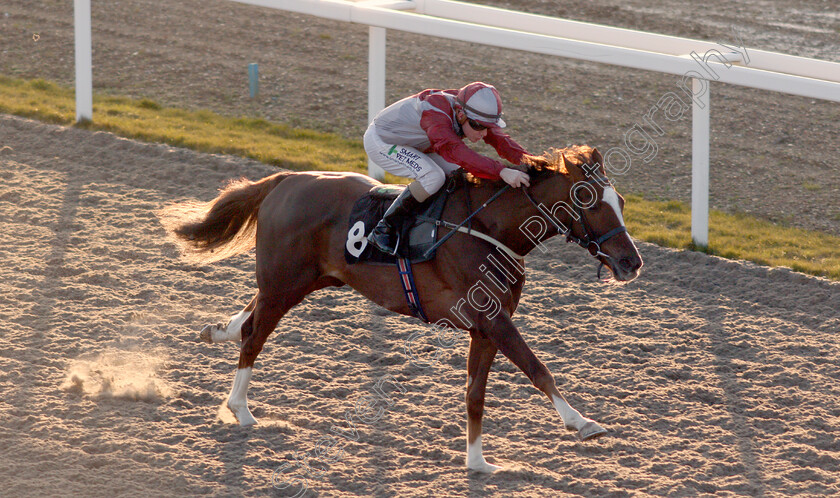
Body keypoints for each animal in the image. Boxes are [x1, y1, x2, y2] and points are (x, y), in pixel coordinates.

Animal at [167, 145, 648, 474]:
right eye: (589, 201)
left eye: (622, 203)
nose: (632, 262)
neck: (489, 229)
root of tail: (285, 180)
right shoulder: (493, 319)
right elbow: (537, 368)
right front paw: (582, 423)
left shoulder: (485, 327)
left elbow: (475, 394)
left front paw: (478, 463)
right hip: (287, 282)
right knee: (254, 337)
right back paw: (241, 409)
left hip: (308, 279)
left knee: (250, 313)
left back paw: (219, 331)